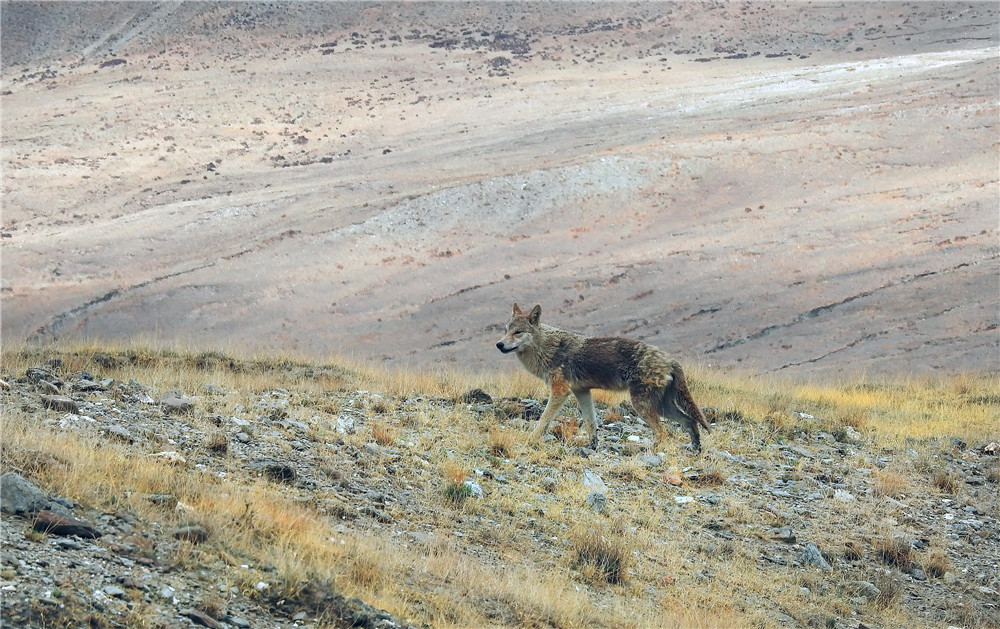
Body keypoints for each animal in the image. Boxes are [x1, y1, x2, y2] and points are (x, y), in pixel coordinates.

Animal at [496, 302, 708, 448]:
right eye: (506, 331)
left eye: (518, 332)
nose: (499, 344)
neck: (547, 348)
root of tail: (670, 359)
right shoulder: (581, 392)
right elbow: (591, 423)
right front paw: (592, 446)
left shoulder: (560, 391)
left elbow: (544, 419)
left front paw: (531, 439)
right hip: (662, 407)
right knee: (689, 421)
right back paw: (695, 451)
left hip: (642, 406)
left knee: (663, 433)